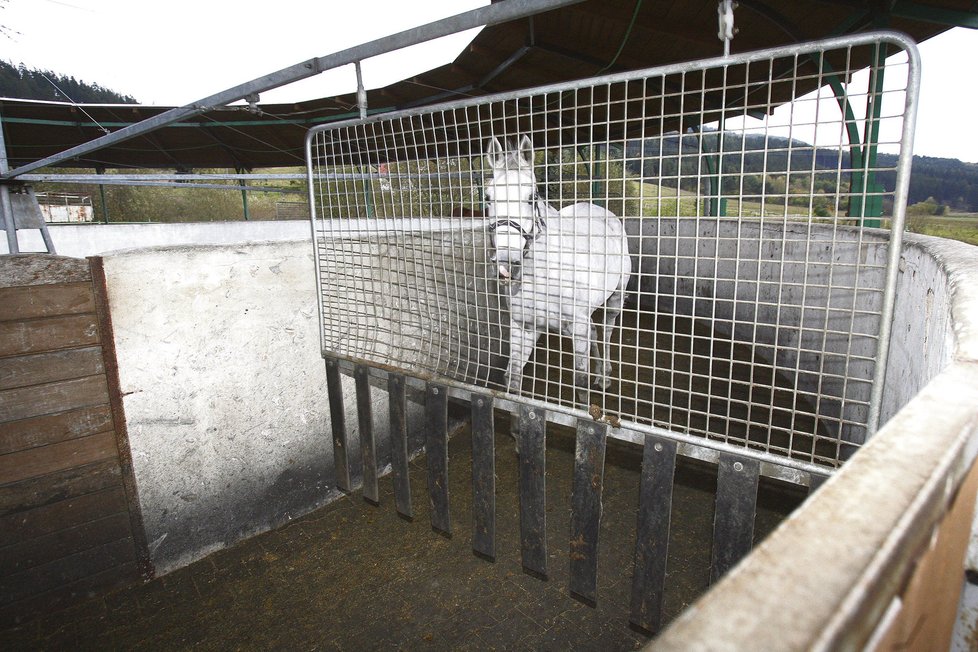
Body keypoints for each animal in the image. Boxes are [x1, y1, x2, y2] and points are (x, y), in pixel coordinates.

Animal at [482, 135, 632, 404]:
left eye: (532, 196)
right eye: (488, 197)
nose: (507, 264)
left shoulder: (578, 328)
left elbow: (581, 383)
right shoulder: (523, 326)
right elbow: (513, 377)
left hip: (615, 299)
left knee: (606, 332)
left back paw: (604, 376)